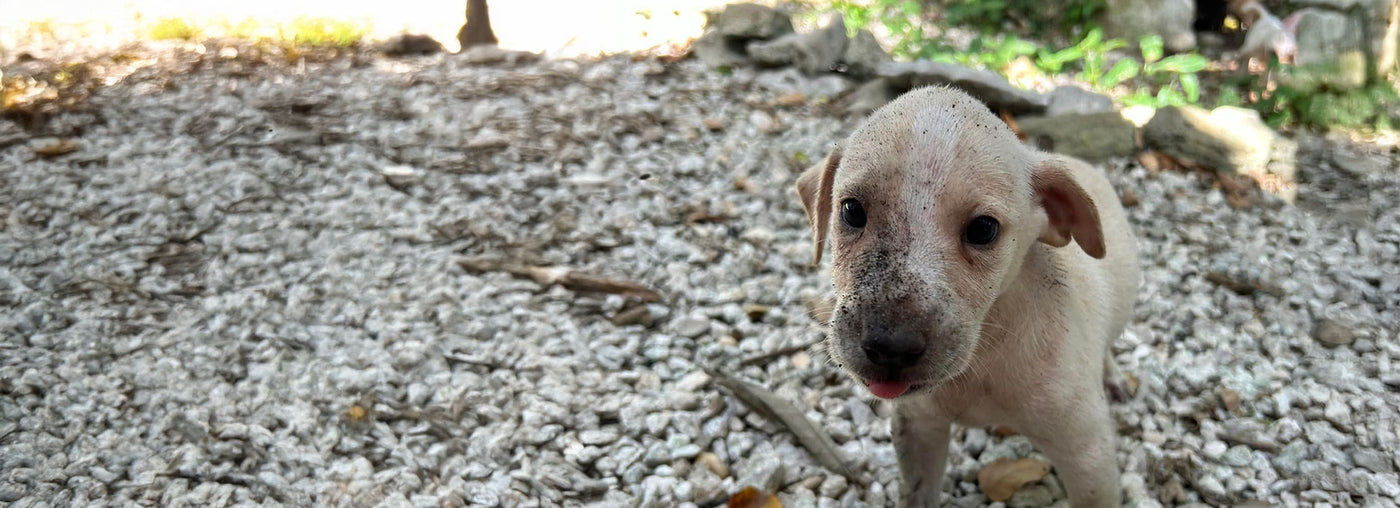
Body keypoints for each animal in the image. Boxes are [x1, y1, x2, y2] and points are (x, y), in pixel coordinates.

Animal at [796, 86, 1139, 507]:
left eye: (983, 229)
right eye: (851, 210)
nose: (890, 349)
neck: (985, 354)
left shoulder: (1088, 455)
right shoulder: (918, 426)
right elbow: (918, 493)